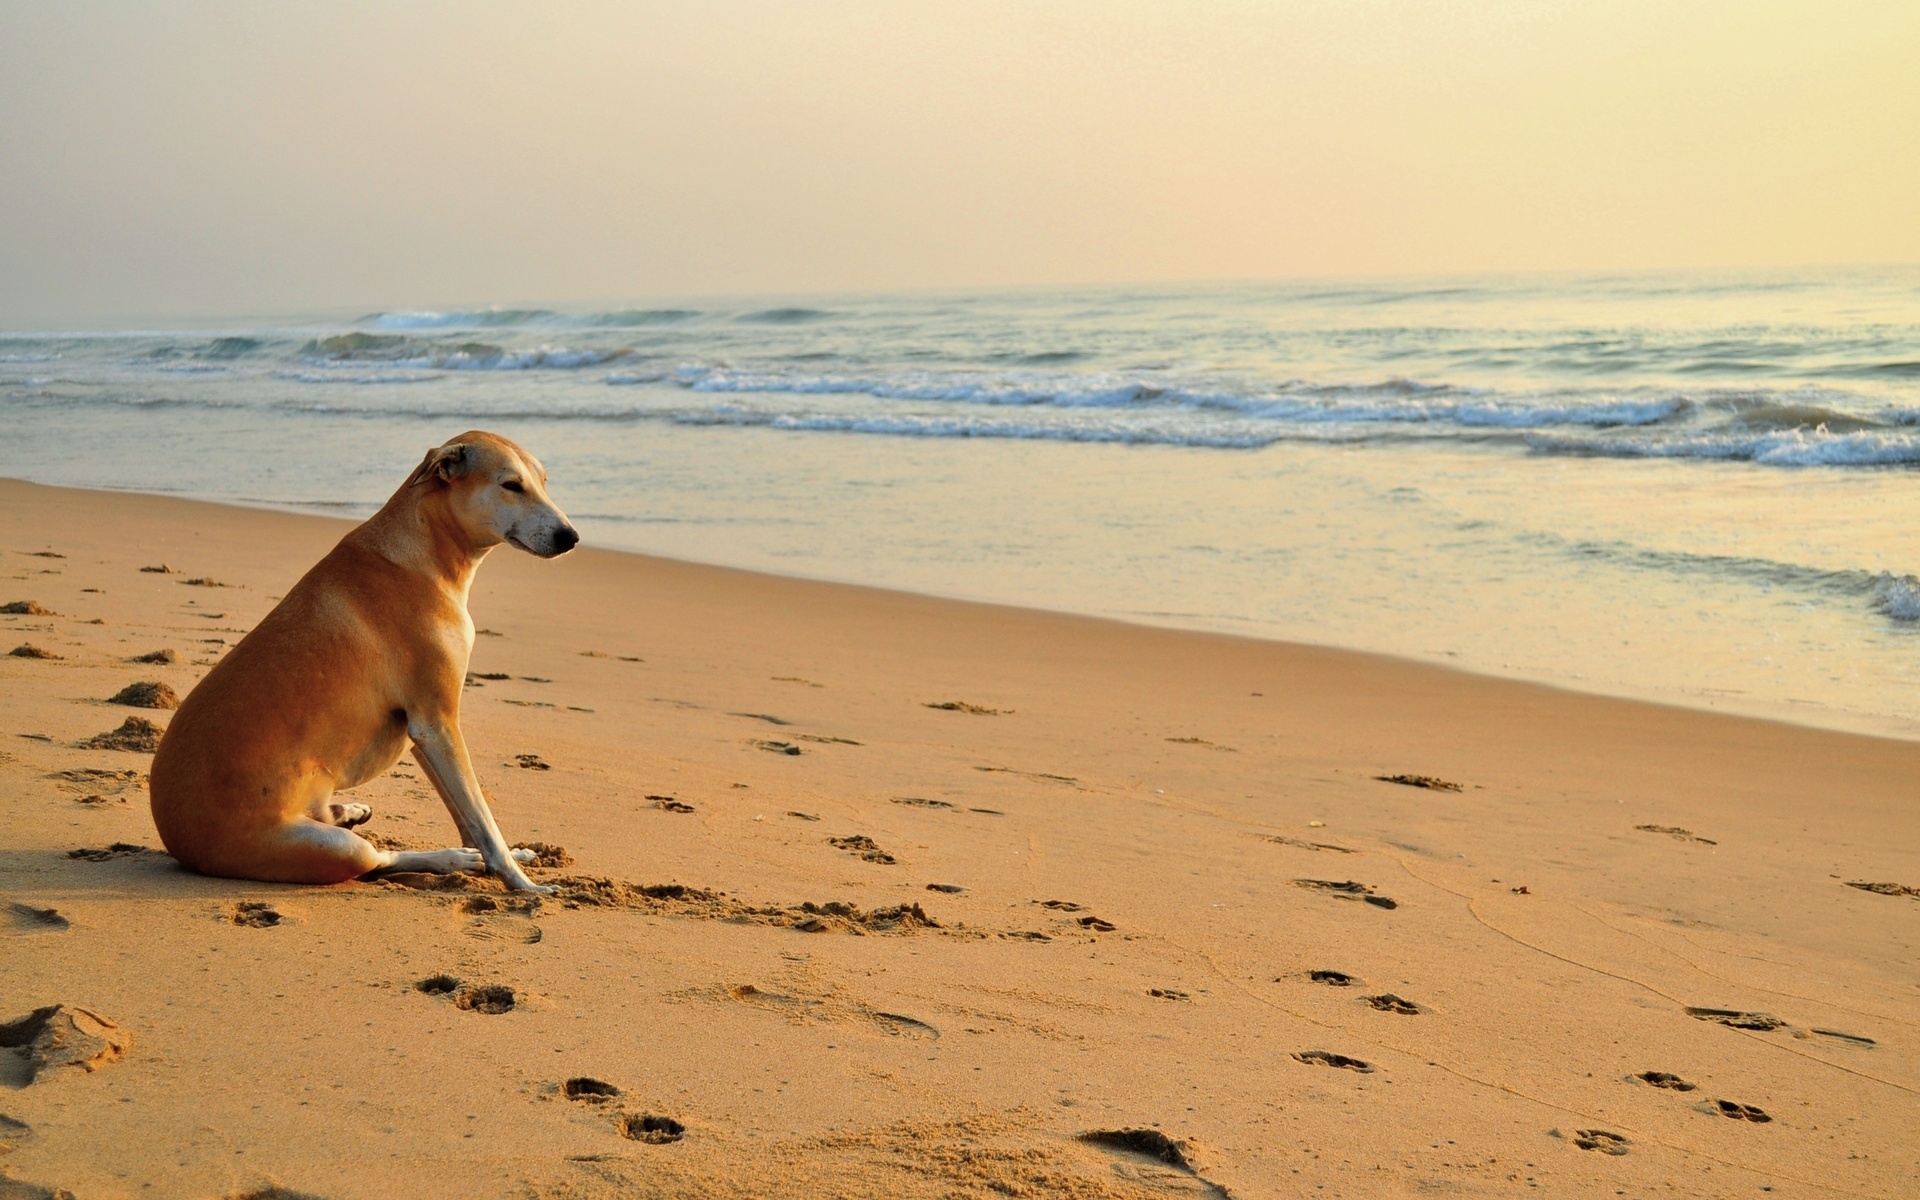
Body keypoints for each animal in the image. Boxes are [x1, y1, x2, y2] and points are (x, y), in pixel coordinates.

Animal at [150, 430, 576, 890]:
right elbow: (482, 819)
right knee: (378, 860)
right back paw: (451, 858)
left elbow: (469, 817)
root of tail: (177, 841)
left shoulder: (426, 734)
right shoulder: (437, 723)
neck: (421, 551)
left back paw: (348, 812)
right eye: (511, 485)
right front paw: (520, 881)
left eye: (543, 482)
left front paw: (508, 857)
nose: (571, 537)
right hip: (329, 848)